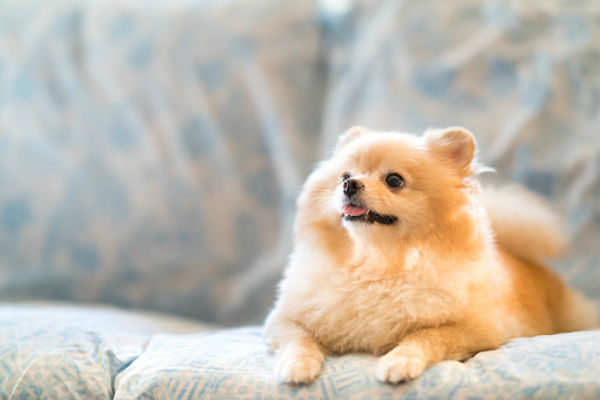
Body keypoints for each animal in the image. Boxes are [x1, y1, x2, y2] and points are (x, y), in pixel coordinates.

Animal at [264, 127, 596, 384]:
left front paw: (399, 361)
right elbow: (299, 339)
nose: (349, 184)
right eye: (344, 175)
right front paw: (297, 365)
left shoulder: (477, 330)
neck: (377, 261)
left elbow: (425, 336)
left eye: (394, 180)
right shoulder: (284, 318)